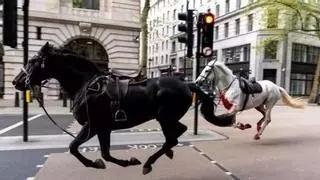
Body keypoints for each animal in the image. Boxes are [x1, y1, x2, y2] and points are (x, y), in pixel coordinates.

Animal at [12, 42, 234, 174]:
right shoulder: (103, 128)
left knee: (173, 137)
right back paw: (165, 154)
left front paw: (96, 163)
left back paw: (149, 163)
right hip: (167, 118)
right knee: (177, 133)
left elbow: (74, 147)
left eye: (32, 61)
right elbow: (104, 153)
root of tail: (187, 84)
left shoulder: (92, 126)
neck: (85, 85)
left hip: (165, 117)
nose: (16, 81)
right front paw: (119, 162)